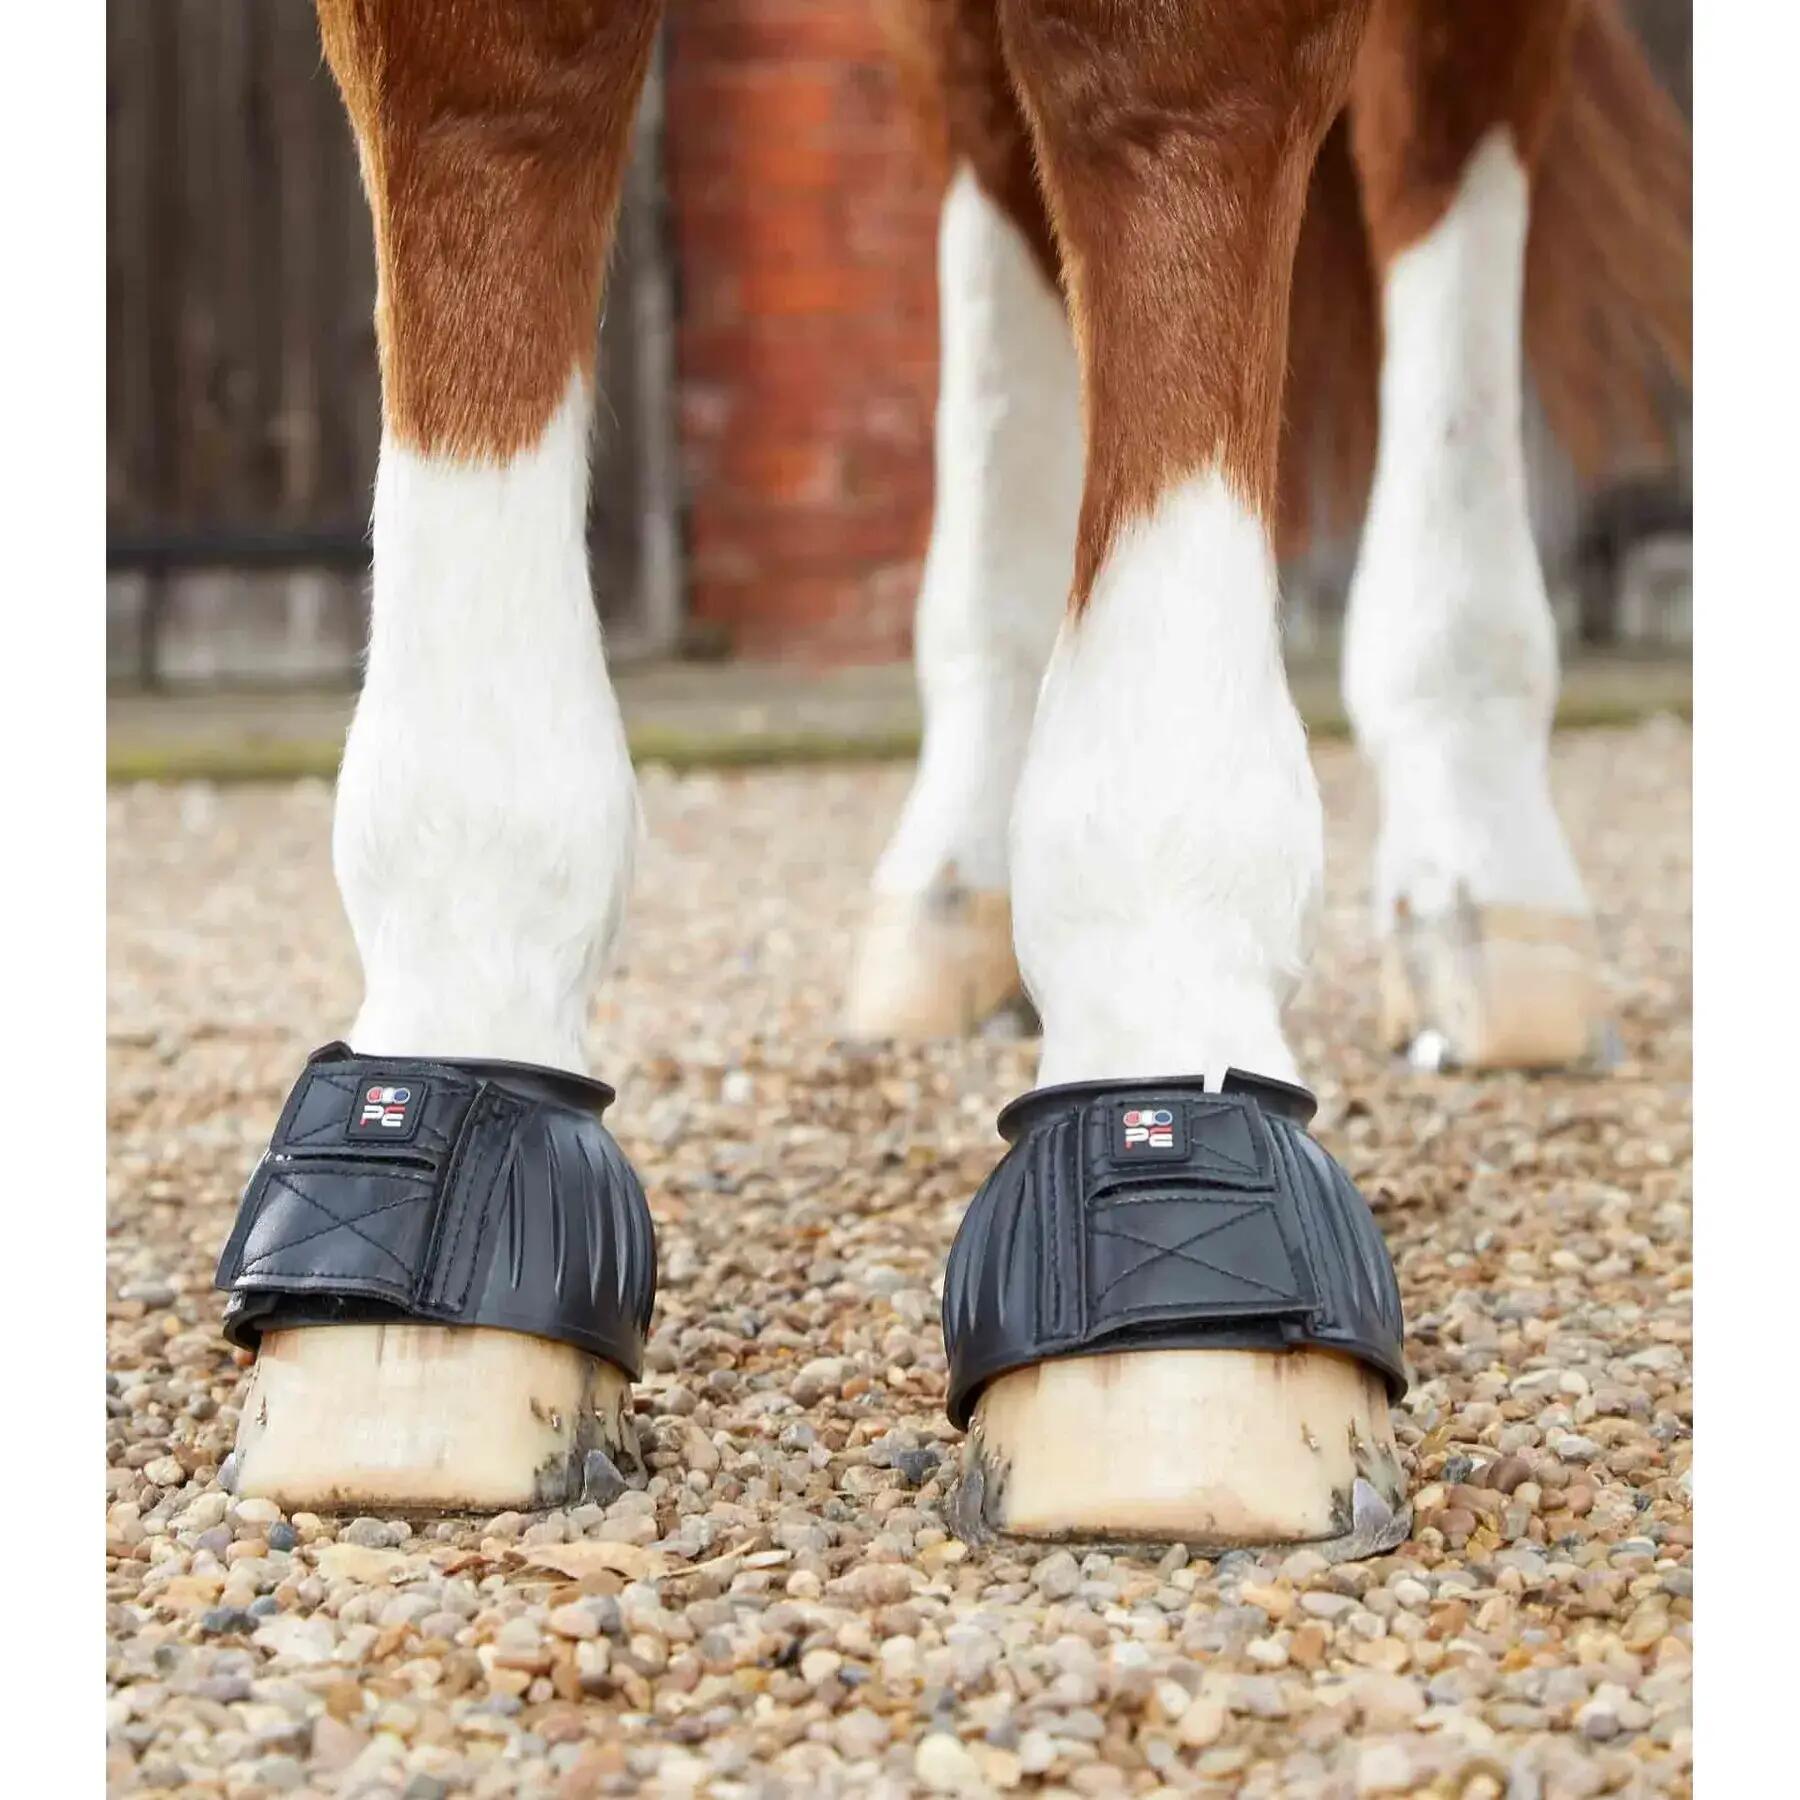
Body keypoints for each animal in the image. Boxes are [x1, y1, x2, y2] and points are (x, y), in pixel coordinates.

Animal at [213, 0, 1689, 1555]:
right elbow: (488, 101)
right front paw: (460, 1012)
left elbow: (1170, 99)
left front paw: (1161, 976)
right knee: (1005, 174)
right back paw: (957, 893)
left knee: (1439, 161)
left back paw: (1485, 895)